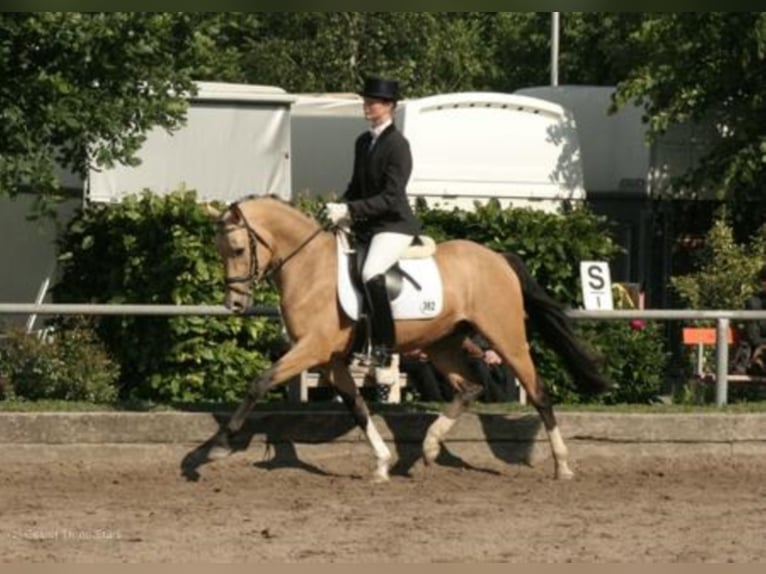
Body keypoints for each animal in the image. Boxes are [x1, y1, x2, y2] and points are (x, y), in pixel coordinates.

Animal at [204, 195, 611, 481]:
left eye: (237, 249)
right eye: (219, 250)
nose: (234, 303)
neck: (309, 268)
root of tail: (498, 258)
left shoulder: (312, 349)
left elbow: (260, 382)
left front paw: (218, 445)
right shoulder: (331, 359)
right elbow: (357, 405)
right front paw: (382, 463)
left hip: (505, 336)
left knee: (538, 391)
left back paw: (562, 465)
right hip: (442, 344)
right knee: (470, 387)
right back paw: (429, 447)